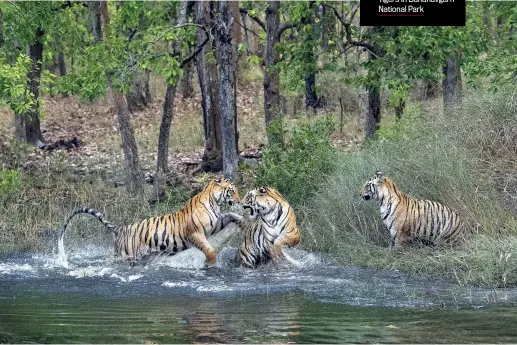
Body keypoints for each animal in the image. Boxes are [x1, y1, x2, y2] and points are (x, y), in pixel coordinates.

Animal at [57, 177, 243, 266]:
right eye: (232, 191)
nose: (239, 200)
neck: (214, 202)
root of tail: (120, 228)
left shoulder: (216, 222)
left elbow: (229, 215)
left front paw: (241, 220)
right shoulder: (195, 233)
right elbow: (209, 250)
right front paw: (209, 264)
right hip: (127, 255)